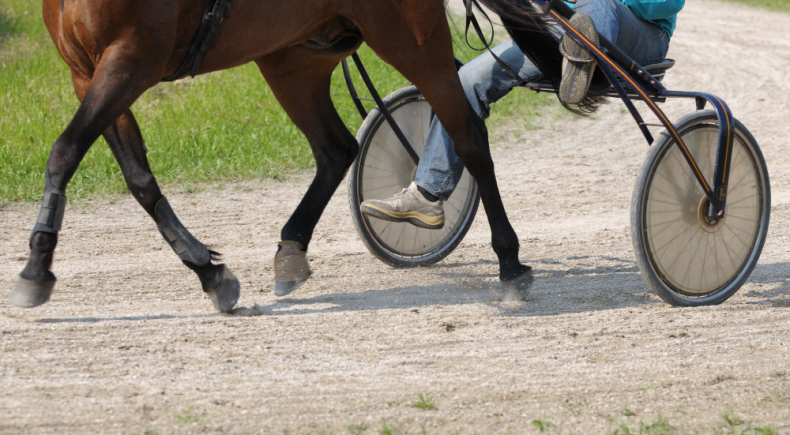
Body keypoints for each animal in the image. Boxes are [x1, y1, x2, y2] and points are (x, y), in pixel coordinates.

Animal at [10, 0, 576, 314]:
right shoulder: (87, 70)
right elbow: (137, 178)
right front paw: (208, 271)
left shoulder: (131, 60)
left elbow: (64, 151)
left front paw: (35, 268)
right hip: (293, 56)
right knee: (336, 149)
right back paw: (291, 249)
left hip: (410, 39)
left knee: (467, 136)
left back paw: (510, 265)